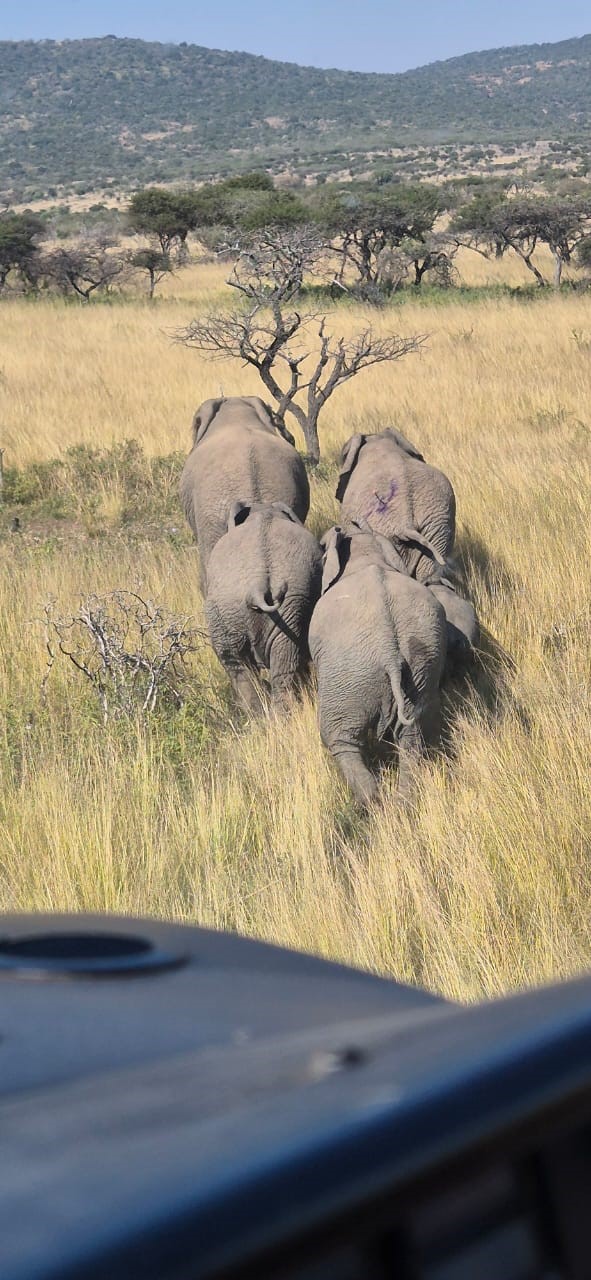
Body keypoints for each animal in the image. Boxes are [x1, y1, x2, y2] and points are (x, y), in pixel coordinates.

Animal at [308, 523, 447, 805]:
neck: (367, 552)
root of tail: (390, 653)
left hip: (347, 676)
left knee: (340, 739)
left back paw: (372, 805)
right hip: (421, 669)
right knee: (411, 738)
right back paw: (402, 804)